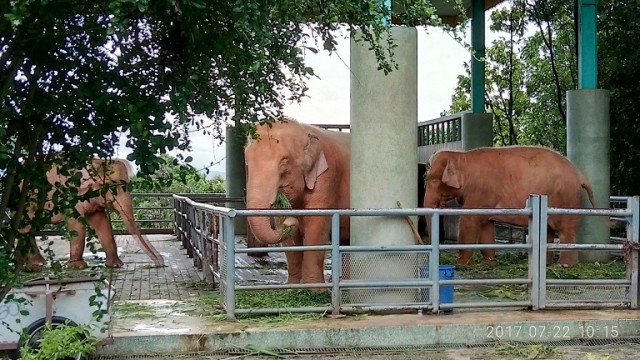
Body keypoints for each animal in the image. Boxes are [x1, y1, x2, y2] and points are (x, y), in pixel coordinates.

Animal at [245, 117, 350, 284]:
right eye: (247, 162)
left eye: (284, 161)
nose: (292, 222)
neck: (305, 130)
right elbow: (285, 230)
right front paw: (291, 287)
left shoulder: (328, 177)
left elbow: (316, 226)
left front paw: (312, 289)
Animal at [424, 146, 596, 268]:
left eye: (433, 181)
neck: (460, 156)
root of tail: (579, 174)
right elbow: (486, 224)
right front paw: (489, 263)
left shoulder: (481, 190)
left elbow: (469, 221)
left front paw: (461, 264)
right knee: (548, 230)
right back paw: (547, 264)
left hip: (566, 198)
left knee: (565, 230)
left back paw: (564, 266)